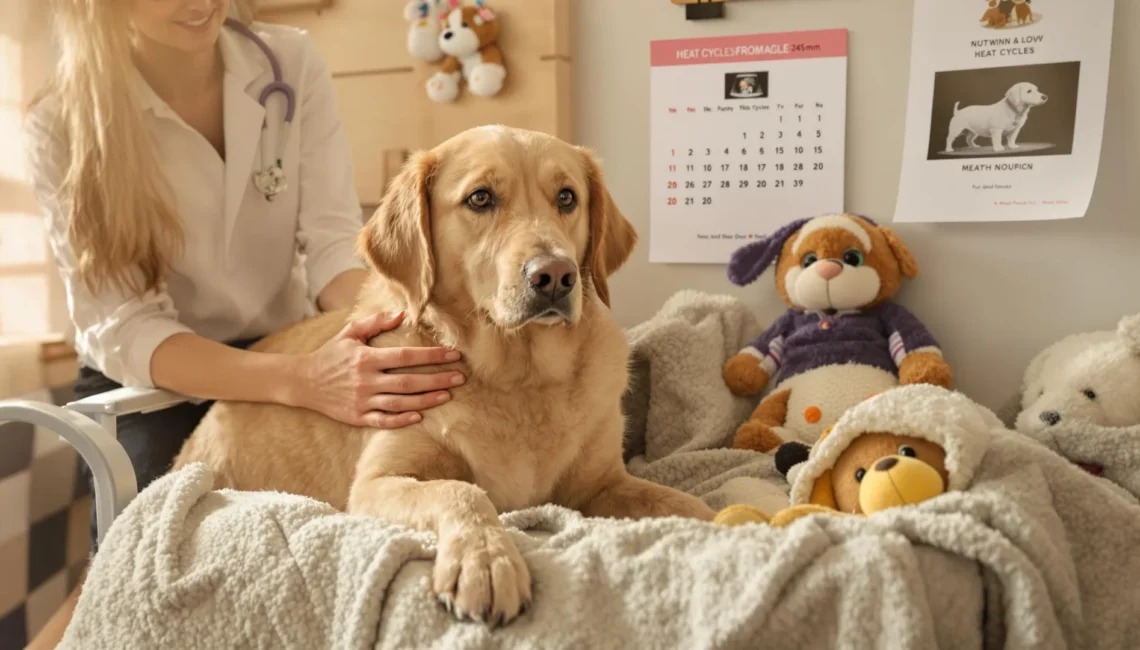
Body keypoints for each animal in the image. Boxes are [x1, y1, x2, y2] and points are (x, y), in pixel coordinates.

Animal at [171, 123, 711, 624]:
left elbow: (686, 505)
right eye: (480, 198)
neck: (517, 375)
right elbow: (463, 491)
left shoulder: (603, 484)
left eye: (567, 198)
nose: (556, 276)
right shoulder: (375, 484)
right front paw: (486, 561)